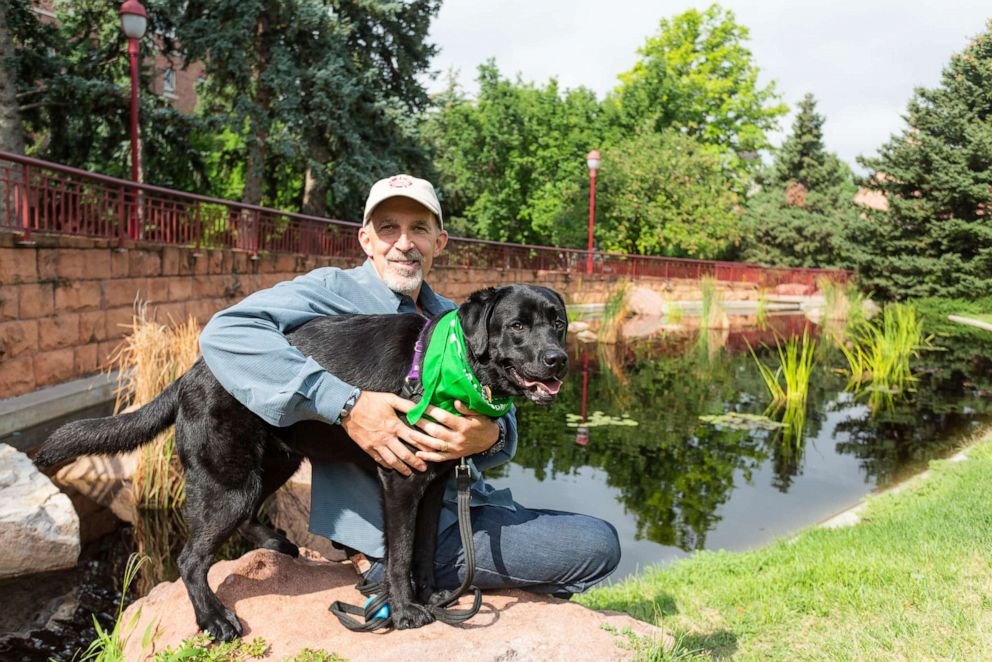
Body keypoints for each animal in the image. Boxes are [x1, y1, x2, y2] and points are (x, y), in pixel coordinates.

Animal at [35, 286, 568, 644]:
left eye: (558, 323)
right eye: (517, 326)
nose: (557, 359)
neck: (457, 367)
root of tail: (193, 371)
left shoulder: (435, 483)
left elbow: (420, 552)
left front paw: (433, 598)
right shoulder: (399, 480)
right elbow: (398, 554)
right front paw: (404, 612)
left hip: (272, 467)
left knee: (242, 521)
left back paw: (274, 544)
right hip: (229, 481)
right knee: (190, 559)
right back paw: (215, 619)